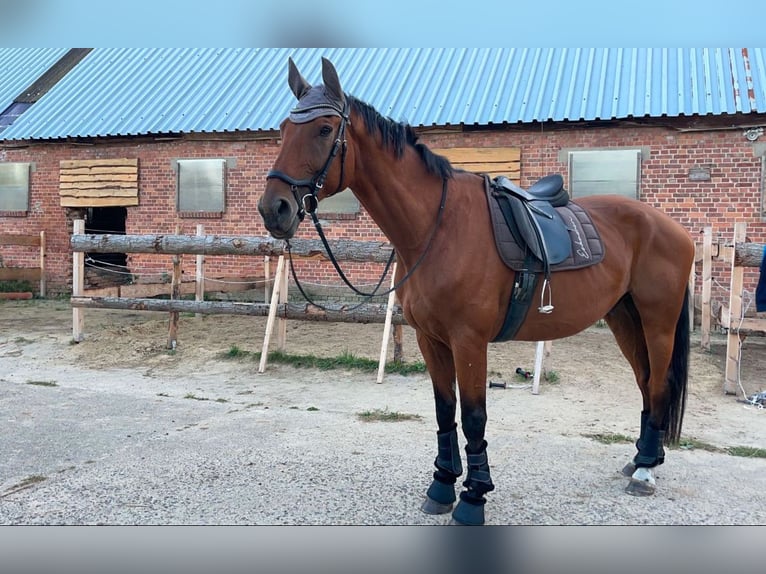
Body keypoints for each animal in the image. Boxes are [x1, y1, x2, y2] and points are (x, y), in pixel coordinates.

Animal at [258, 57, 696, 528]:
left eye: (324, 129)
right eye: (283, 129)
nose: (274, 208)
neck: (438, 227)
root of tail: (673, 228)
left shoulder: (469, 341)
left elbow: (473, 417)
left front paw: (473, 497)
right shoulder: (430, 339)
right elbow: (444, 410)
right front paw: (441, 485)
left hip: (658, 322)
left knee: (658, 384)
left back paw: (646, 472)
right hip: (623, 318)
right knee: (645, 382)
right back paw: (641, 460)